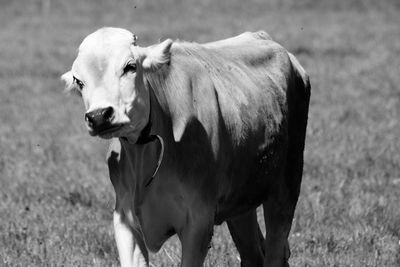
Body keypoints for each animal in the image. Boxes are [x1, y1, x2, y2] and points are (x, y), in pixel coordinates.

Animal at [61, 27, 310, 267]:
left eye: (130, 67)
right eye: (79, 81)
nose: (99, 116)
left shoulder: (198, 223)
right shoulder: (125, 220)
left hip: (286, 185)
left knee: (275, 252)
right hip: (242, 199)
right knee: (253, 255)